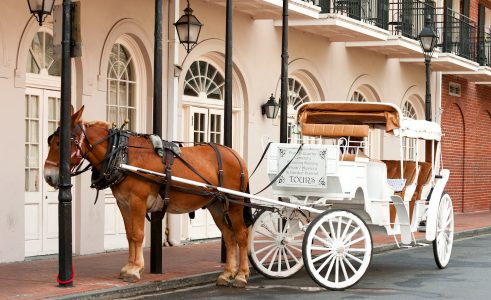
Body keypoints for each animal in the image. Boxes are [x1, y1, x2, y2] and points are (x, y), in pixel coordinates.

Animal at [44, 106, 252, 288]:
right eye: (51, 141)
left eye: (60, 143)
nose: (48, 176)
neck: (123, 155)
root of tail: (235, 155)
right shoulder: (123, 203)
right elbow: (129, 235)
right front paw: (129, 267)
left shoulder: (137, 200)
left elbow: (137, 234)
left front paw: (135, 269)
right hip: (216, 205)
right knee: (229, 236)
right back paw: (226, 274)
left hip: (234, 205)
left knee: (241, 235)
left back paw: (241, 275)